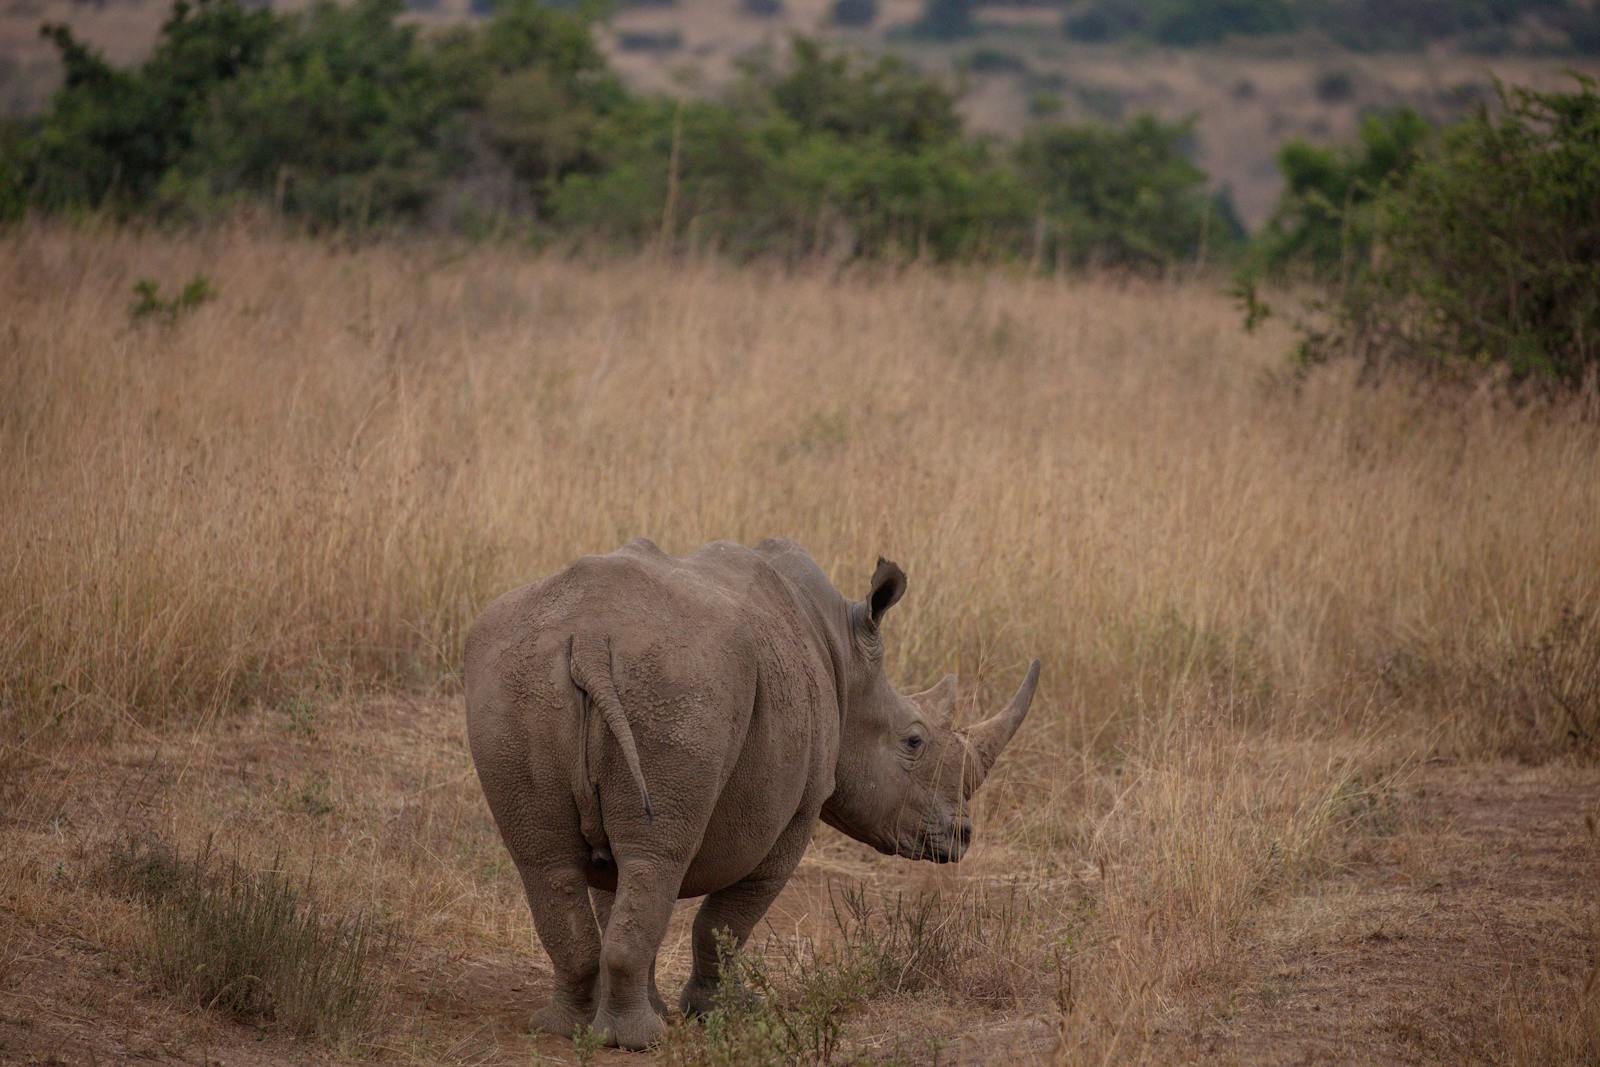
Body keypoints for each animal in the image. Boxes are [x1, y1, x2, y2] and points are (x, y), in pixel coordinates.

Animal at [464, 538, 1040, 1050]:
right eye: (914, 741)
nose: (961, 837)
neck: (846, 659)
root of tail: (589, 636)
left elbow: (619, 899)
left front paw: (660, 1007)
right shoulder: (800, 807)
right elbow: (728, 919)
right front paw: (725, 1013)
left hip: (519, 677)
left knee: (554, 861)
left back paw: (564, 1030)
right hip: (683, 688)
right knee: (655, 857)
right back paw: (636, 1042)